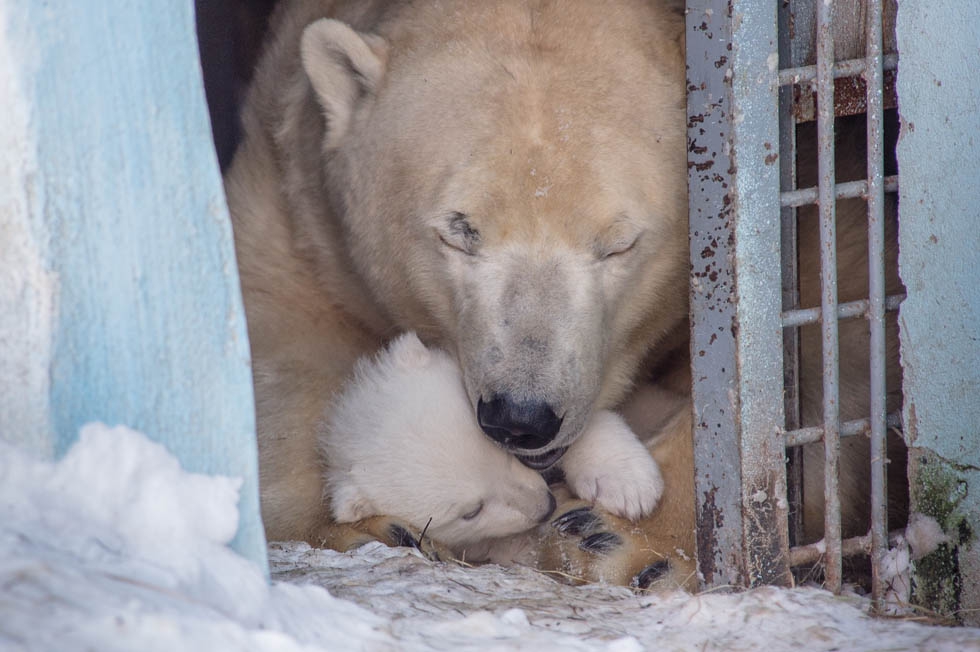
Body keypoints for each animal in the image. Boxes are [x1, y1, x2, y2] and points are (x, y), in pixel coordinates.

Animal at [226, 0, 692, 584]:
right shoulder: (296, 196)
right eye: (458, 232)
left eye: (619, 245)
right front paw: (367, 529)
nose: (521, 418)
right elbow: (278, 339)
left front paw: (623, 539)